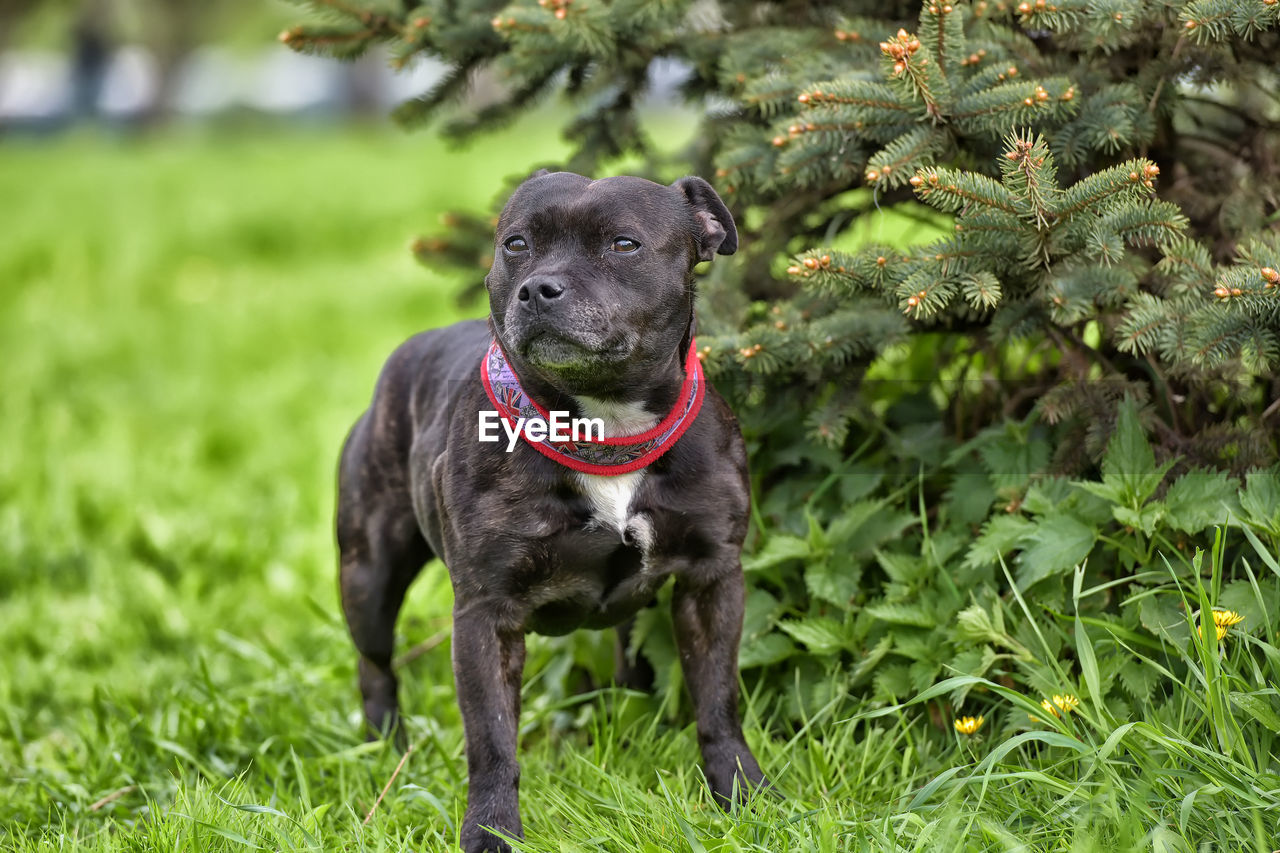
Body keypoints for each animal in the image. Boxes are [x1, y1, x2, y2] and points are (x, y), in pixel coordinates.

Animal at [335, 169, 762, 845]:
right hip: (368, 575)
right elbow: (491, 739)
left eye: (623, 245)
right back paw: (387, 750)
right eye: (516, 244)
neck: (604, 427)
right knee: (375, 665)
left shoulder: (711, 579)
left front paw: (741, 791)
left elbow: (718, 699)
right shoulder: (487, 612)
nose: (539, 287)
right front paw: (491, 832)